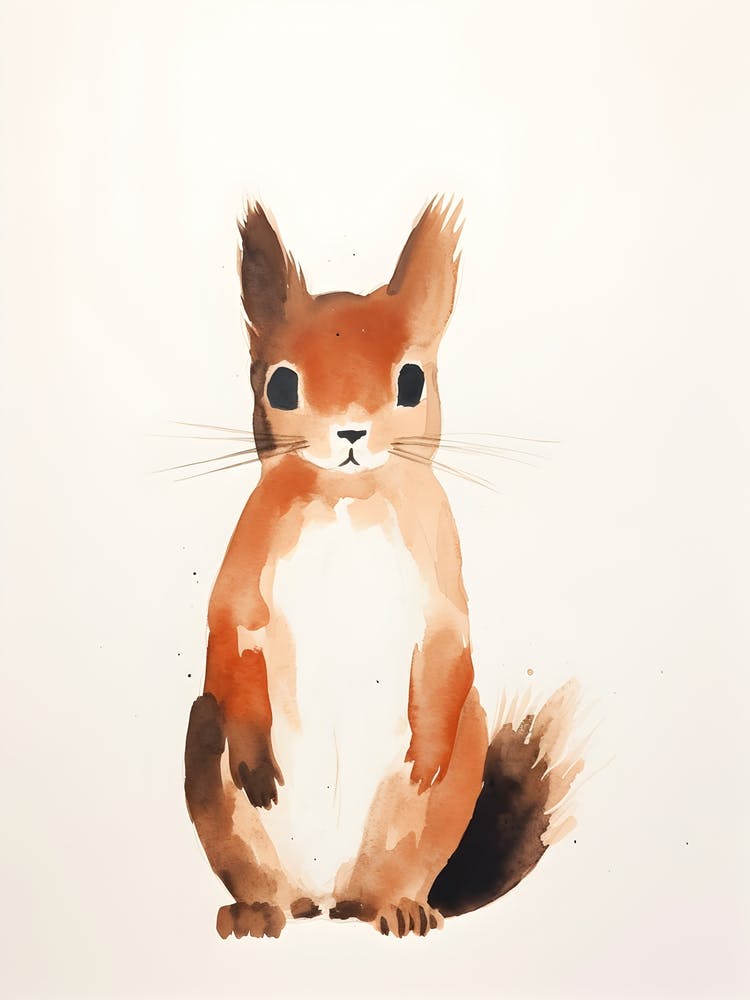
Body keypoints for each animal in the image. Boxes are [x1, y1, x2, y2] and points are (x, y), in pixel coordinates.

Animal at [184, 197, 584, 939]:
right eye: (282, 383)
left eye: (411, 380)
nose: (349, 432)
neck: (348, 500)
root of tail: (327, 893)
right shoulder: (245, 564)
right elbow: (230, 630)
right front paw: (256, 761)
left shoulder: (442, 575)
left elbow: (449, 645)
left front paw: (425, 755)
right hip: (210, 765)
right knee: (263, 879)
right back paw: (259, 911)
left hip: (429, 816)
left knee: (390, 881)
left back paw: (398, 909)